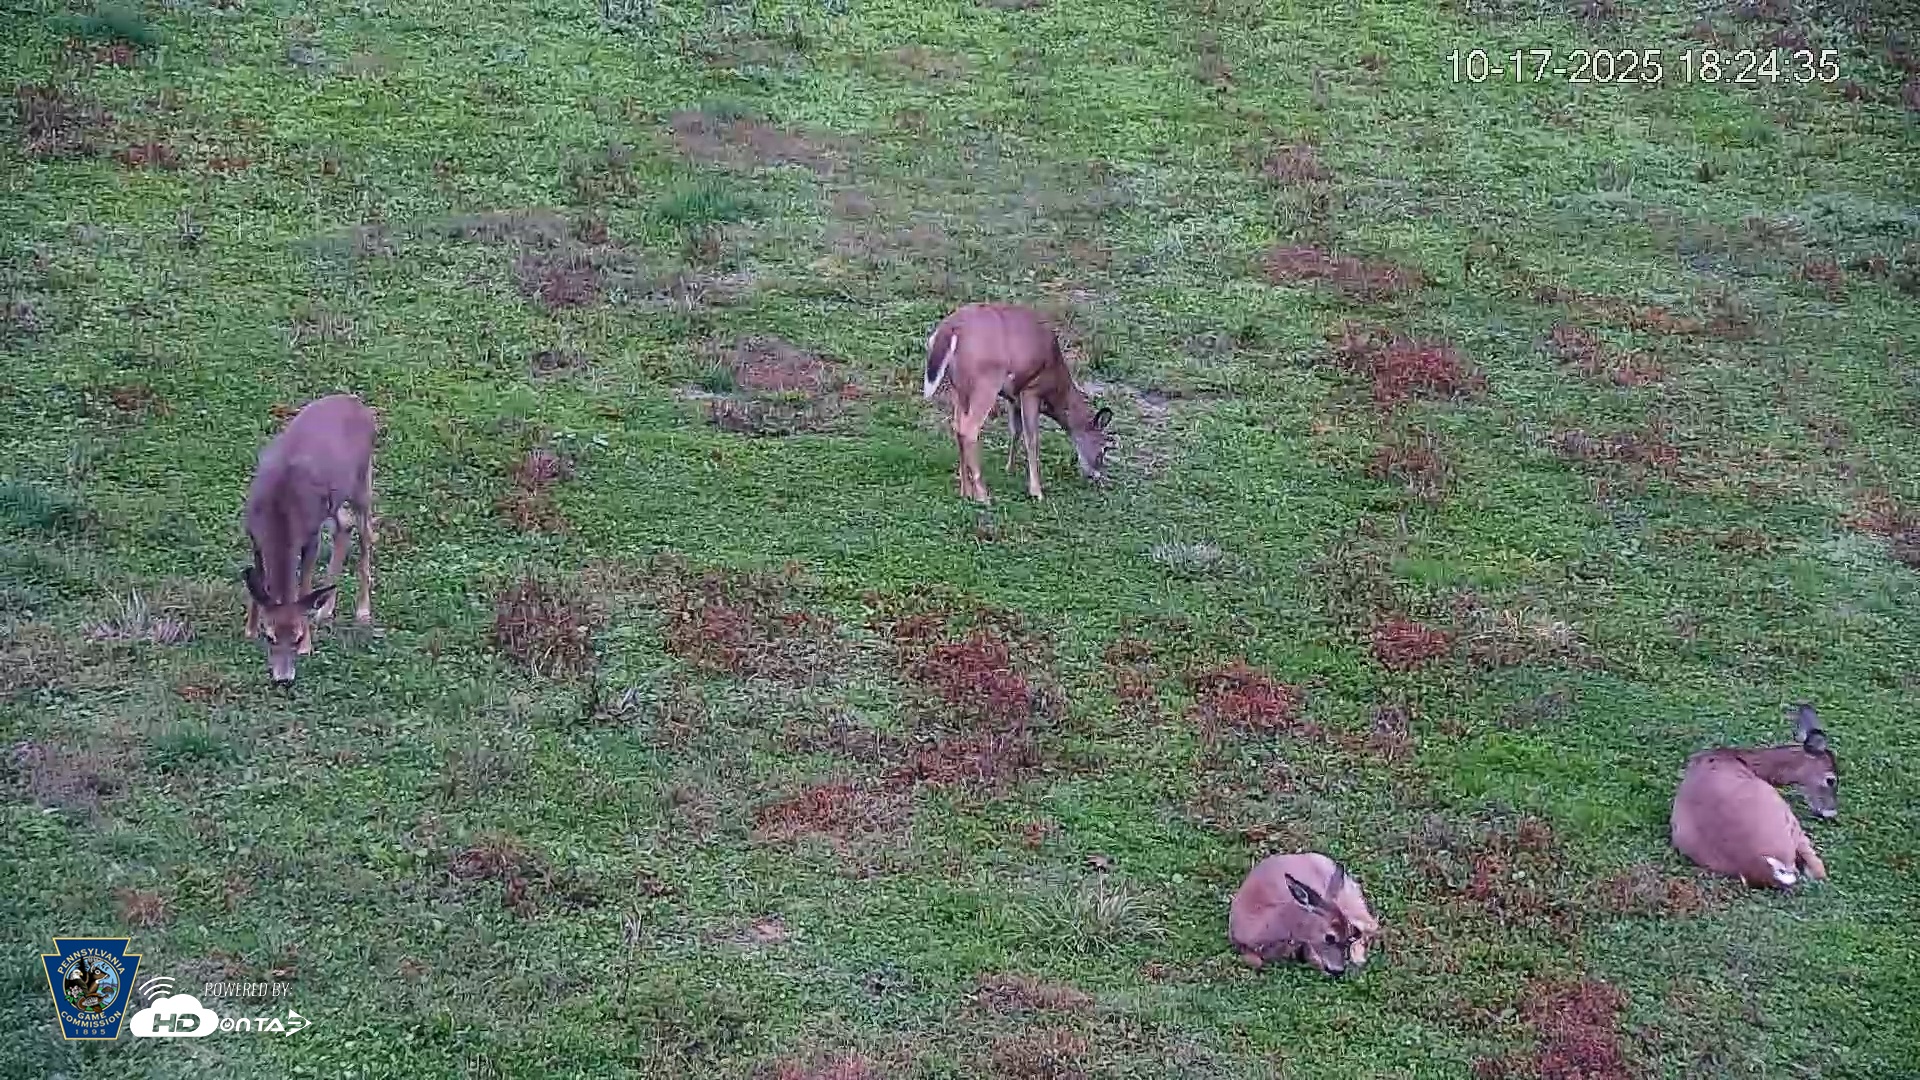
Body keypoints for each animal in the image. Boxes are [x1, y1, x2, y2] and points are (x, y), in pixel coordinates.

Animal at [240, 393, 378, 686]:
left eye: (297, 637)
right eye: (270, 637)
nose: (283, 679)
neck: (279, 515)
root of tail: (357, 403)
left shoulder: (311, 536)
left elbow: (303, 587)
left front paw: (308, 646)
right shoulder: (254, 536)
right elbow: (259, 580)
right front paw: (249, 629)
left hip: (362, 482)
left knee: (366, 535)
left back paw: (362, 611)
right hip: (334, 500)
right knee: (344, 526)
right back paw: (325, 609)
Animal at [920, 302, 1113, 504]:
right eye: (1104, 448)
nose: (1097, 475)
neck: (1056, 387)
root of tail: (950, 328)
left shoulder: (1014, 398)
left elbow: (1015, 431)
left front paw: (1009, 468)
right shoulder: (1031, 390)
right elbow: (1032, 439)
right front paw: (1036, 491)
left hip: (958, 386)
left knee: (957, 426)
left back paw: (966, 491)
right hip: (986, 380)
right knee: (969, 429)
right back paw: (983, 495)